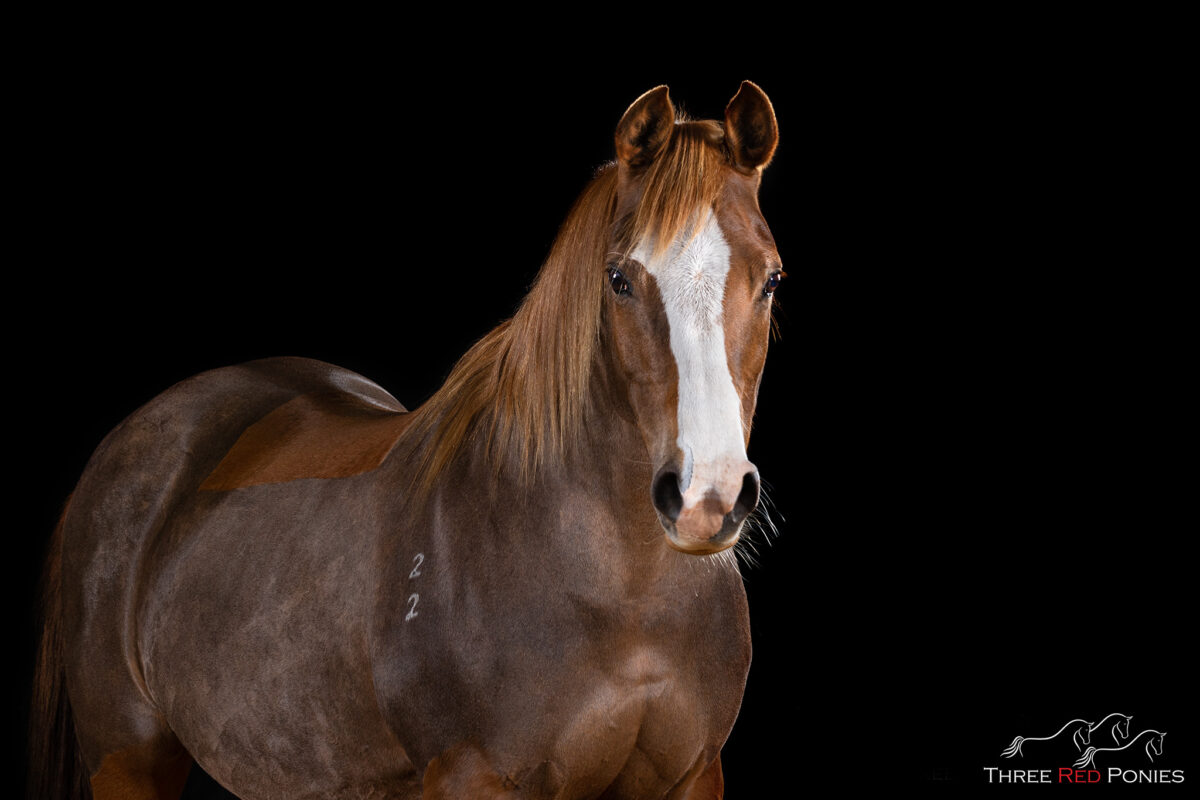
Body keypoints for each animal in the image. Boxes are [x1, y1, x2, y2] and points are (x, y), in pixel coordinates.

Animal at [28, 82, 787, 800]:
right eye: (620, 278)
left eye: (773, 277)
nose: (707, 497)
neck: (626, 602)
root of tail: (130, 443)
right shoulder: (470, 776)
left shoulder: (694, 777)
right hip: (128, 762)